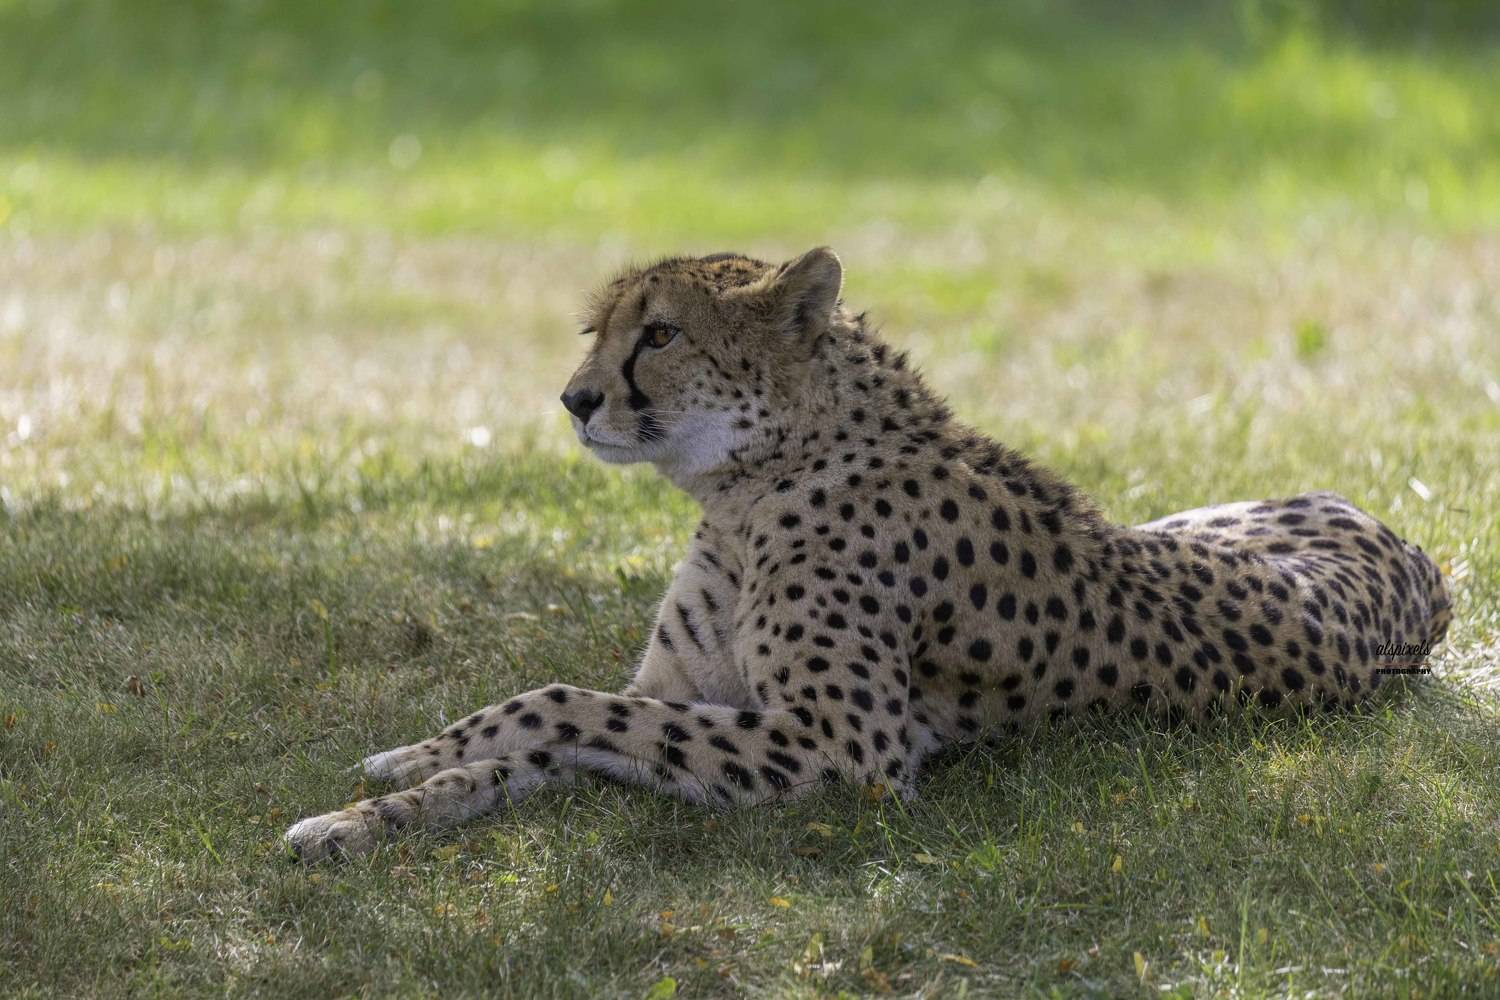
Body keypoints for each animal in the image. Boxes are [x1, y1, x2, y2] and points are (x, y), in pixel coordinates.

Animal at [285, 247, 1451, 860]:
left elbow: (559, 703)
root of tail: (1417, 553)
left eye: (661, 334)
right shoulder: (682, 698)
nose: (573, 400)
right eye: (596, 331)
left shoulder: (846, 753)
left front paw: (402, 769)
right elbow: (536, 739)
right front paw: (378, 802)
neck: (752, 486)